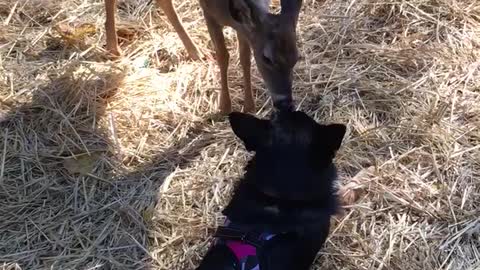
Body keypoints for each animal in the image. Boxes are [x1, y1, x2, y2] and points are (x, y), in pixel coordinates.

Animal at [105, 0, 302, 113]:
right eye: (266, 58)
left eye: (296, 57)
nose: (285, 102)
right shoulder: (208, 11)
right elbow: (223, 56)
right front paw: (224, 106)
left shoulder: (243, 27)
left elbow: (244, 57)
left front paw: (249, 106)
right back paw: (113, 49)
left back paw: (195, 52)